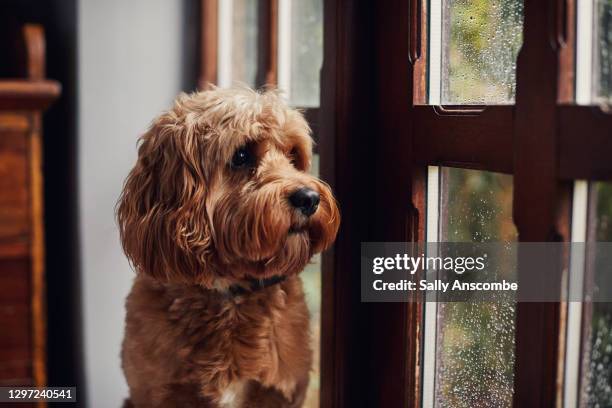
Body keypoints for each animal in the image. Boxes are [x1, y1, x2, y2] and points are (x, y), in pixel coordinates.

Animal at [116, 87, 340, 408]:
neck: (231, 292)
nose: (309, 198)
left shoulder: (279, 393)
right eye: (242, 155)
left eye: (293, 155)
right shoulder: (157, 393)